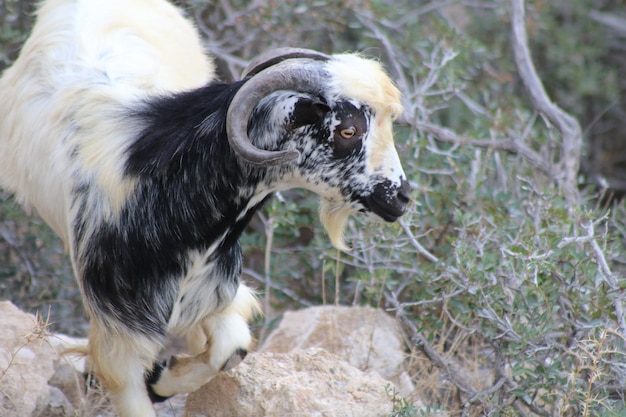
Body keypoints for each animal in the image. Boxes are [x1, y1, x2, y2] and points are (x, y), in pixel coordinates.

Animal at [0, 0, 410, 416]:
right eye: (348, 130)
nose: (400, 198)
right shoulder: (121, 333)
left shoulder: (214, 294)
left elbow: (230, 349)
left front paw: (164, 379)